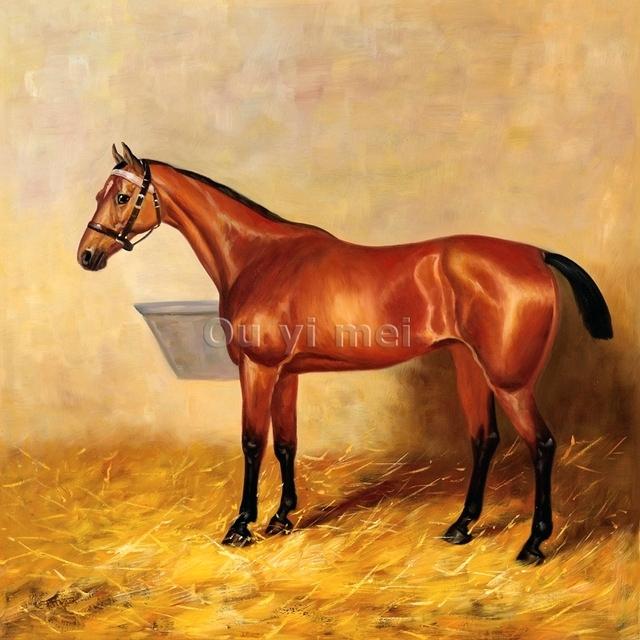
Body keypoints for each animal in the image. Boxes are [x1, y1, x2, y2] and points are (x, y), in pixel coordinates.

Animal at [77, 143, 612, 564]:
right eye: (102, 195)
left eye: (122, 196)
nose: (87, 255)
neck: (260, 258)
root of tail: (537, 255)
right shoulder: (286, 374)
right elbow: (286, 442)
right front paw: (282, 518)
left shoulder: (259, 369)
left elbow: (253, 443)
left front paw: (242, 525)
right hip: (470, 366)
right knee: (484, 439)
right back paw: (461, 527)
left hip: (511, 381)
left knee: (541, 445)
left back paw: (534, 545)